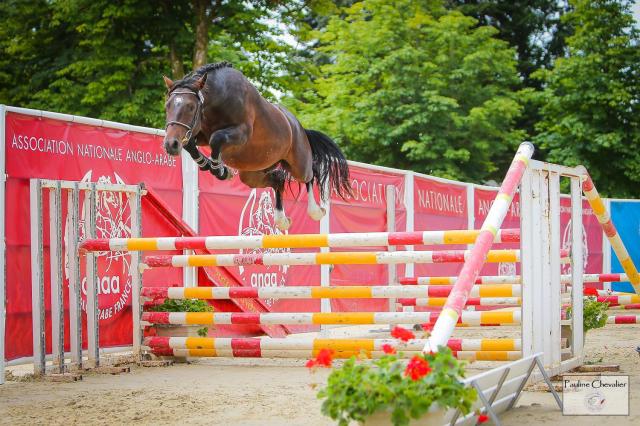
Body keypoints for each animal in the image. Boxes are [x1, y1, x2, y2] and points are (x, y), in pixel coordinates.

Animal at [160, 60, 350, 230]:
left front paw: (220, 170)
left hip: (298, 164)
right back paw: (281, 220)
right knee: (277, 180)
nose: (170, 144)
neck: (217, 99)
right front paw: (211, 166)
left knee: (310, 174)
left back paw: (315, 211)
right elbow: (190, 144)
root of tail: (299, 126)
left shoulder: (241, 133)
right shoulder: (199, 133)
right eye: (167, 105)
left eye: (191, 107)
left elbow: (216, 138)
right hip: (252, 173)